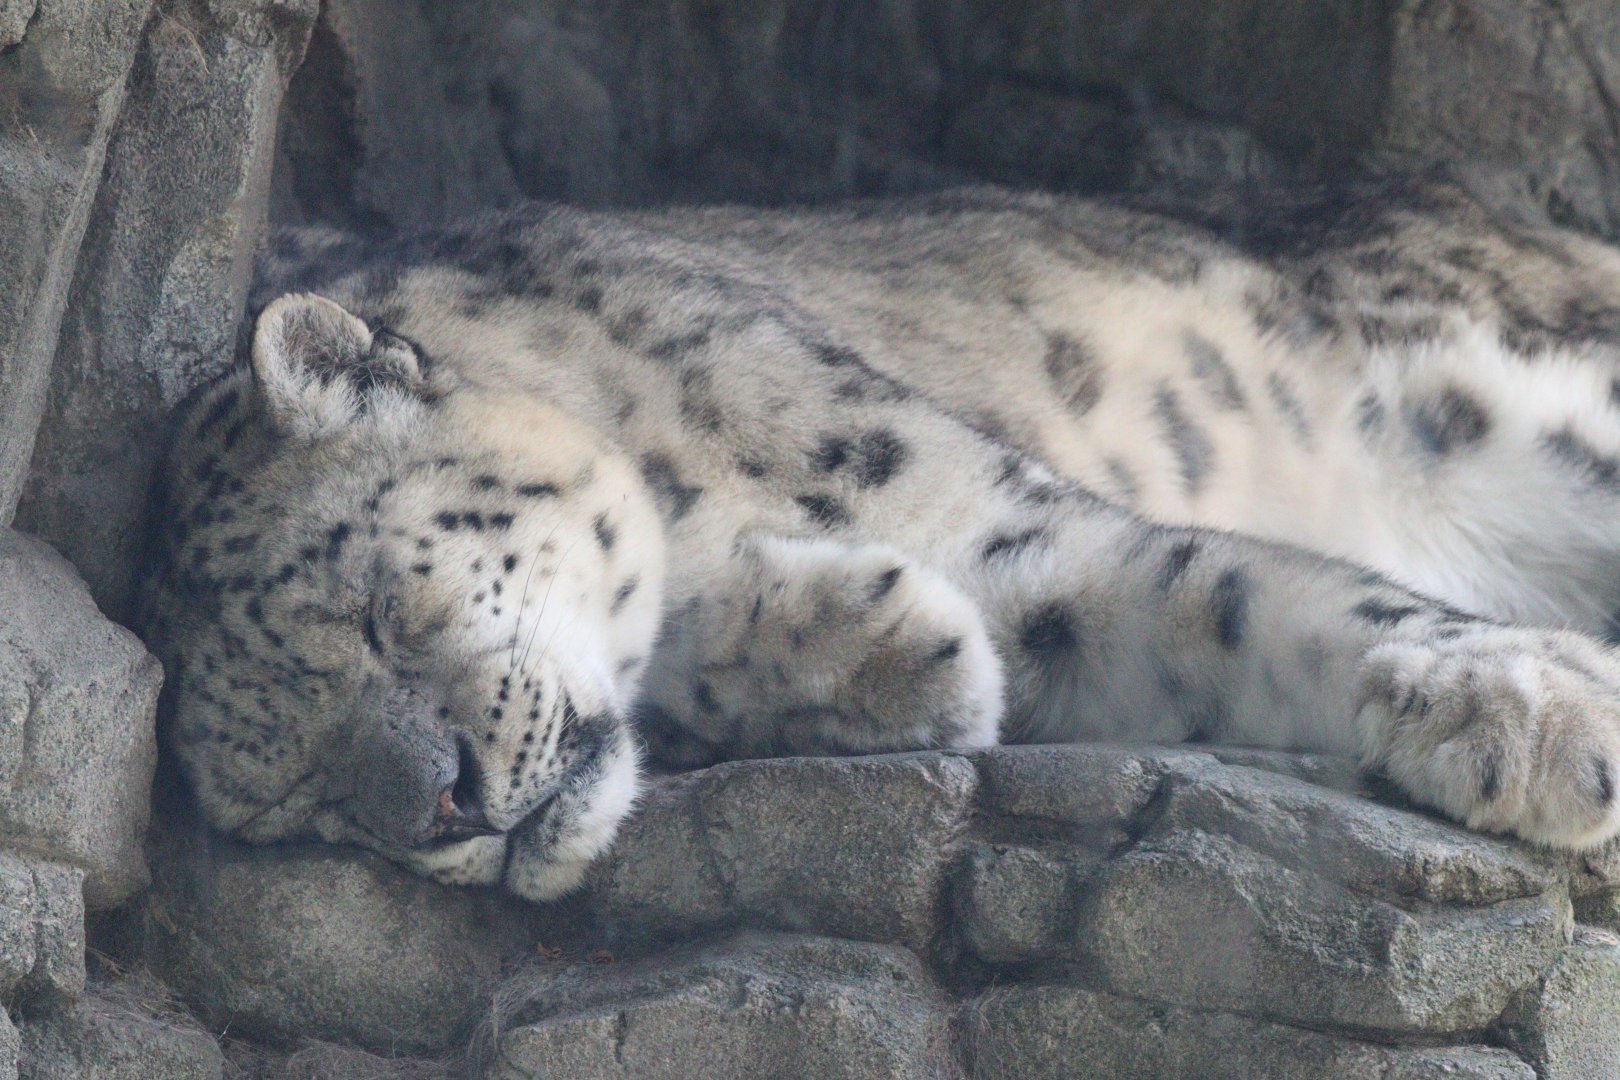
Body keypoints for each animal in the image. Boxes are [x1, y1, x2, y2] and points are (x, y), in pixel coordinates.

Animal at [141, 175, 1620, 903]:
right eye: (302, 810)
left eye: (379, 613)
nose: (438, 806)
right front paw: (885, 647)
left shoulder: (1008, 518)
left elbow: (1249, 594)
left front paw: (1539, 721)